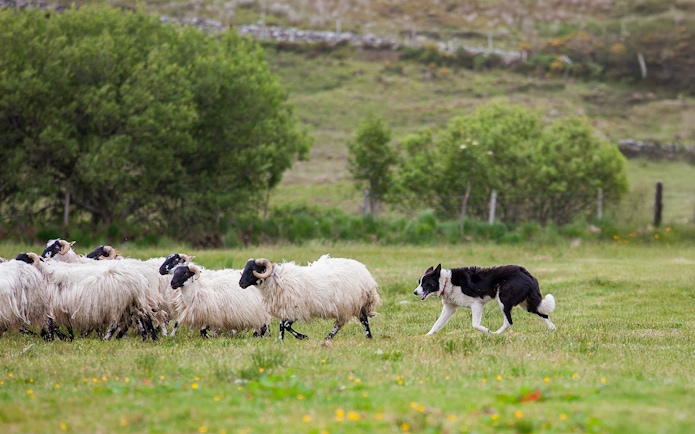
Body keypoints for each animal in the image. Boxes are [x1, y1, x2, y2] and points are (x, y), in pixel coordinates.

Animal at [16, 252, 160, 341]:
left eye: (25, 260)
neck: (44, 275)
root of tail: (138, 278)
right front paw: (67, 338)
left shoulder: (51, 306)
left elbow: (51, 325)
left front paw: (52, 338)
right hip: (130, 302)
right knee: (142, 318)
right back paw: (148, 338)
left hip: (119, 303)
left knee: (120, 323)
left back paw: (107, 339)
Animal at [238, 254, 381, 340]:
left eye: (253, 270)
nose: (240, 284)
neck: (278, 280)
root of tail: (365, 273)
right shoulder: (286, 307)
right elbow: (281, 325)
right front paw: (280, 340)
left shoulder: (298, 309)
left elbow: (286, 325)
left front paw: (302, 337)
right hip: (351, 305)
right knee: (354, 320)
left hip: (351, 303)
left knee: (357, 320)